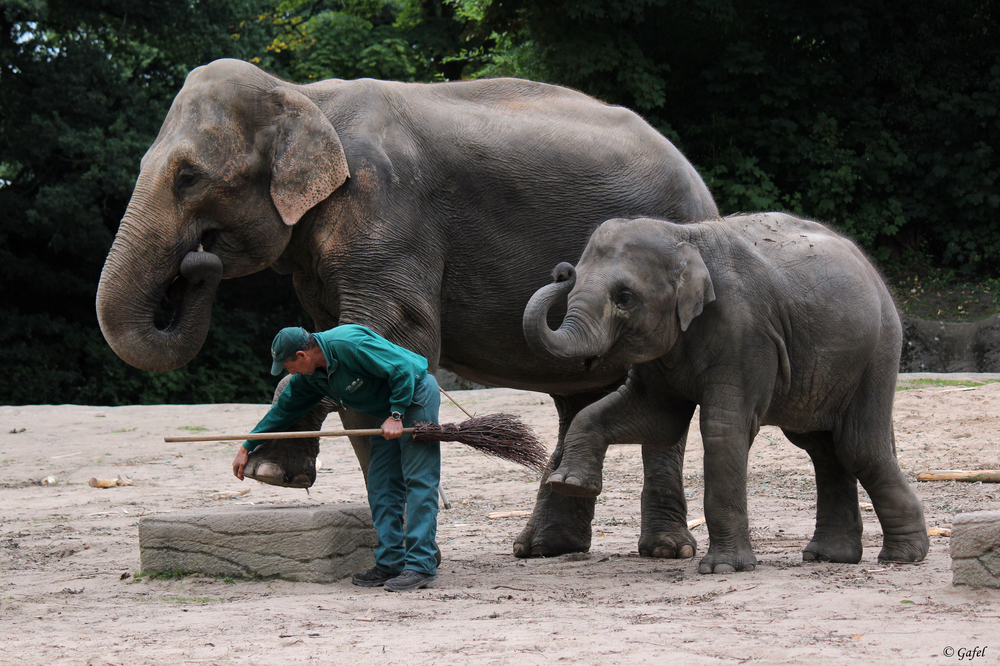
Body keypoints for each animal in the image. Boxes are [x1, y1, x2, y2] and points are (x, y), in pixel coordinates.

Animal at [95, 57, 720, 556]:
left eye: (188, 177)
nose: (199, 262)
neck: (303, 94)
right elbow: (332, 339)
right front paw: (277, 472)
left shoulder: (388, 206)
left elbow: (392, 336)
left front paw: (282, 474)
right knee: (577, 395)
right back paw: (542, 549)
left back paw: (663, 552)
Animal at [524, 211, 928, 572]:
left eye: (624, 297)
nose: (562, 271)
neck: (684, 236)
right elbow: (656, 420)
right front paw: (571, 484)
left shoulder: (746, 333)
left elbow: (722, 429)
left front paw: (722, 568)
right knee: (822, 449)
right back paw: (830, 557)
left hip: (877, 354)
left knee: (858, 447)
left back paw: (902, 557)